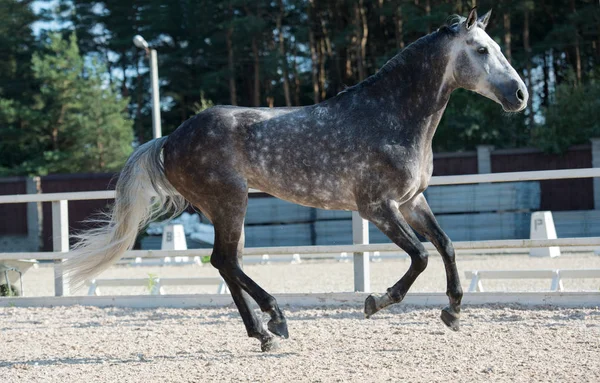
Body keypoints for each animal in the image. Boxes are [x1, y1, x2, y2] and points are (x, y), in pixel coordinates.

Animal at [63, 9, 528, 352]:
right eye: (482, 49)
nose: (521, 95)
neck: (392, 116)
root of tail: (170, 139)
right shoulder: (377, 207)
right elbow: (420, 256)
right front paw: (375, 302)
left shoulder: (413, 201)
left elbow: (446, 246)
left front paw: (453, 313)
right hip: (231, 202)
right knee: (225, 261)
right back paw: (275, 320)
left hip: (226, 208)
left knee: (226, 263)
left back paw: (264, 333)